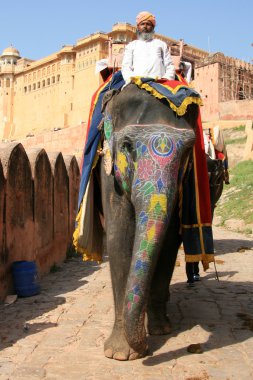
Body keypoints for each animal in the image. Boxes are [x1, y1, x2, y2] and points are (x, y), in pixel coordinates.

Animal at [98, 81, 205, 360]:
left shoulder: (181, 183)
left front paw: (159, 332)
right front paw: (120, 354)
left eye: (188, 150)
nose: (146, 350)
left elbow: (169, 241)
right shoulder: (109, 173)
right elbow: (119, 237)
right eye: (126, 145)